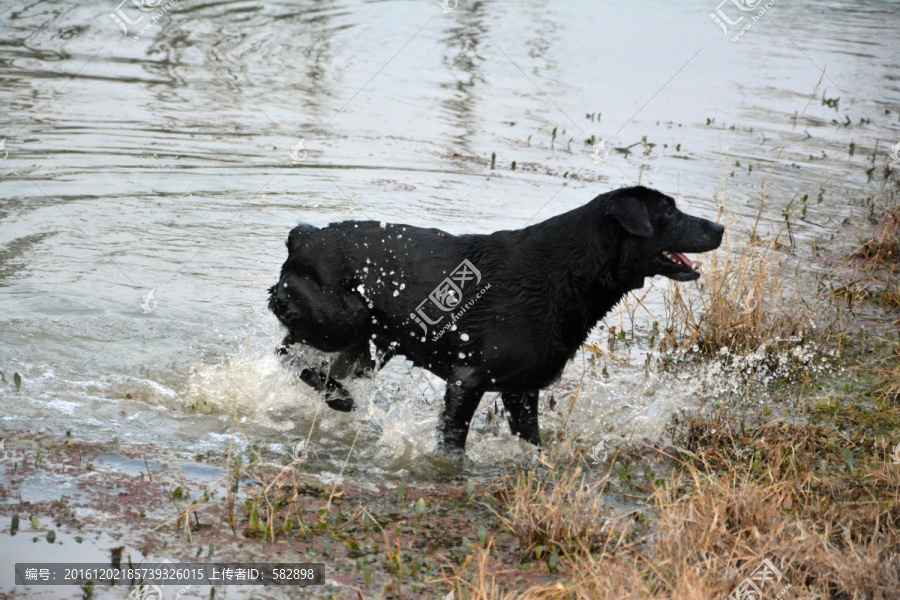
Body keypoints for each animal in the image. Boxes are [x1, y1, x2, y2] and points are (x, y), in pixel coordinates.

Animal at [268, 188, 724, 454]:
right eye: (670, 212)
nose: (719, 227)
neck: (568, 271)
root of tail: (302, 236)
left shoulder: (522, 390)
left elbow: (534, 442)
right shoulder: (467, 381)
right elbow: (453, 443)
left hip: (368, 345)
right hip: (343, 318)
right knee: (287, 354)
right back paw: (340, 399)